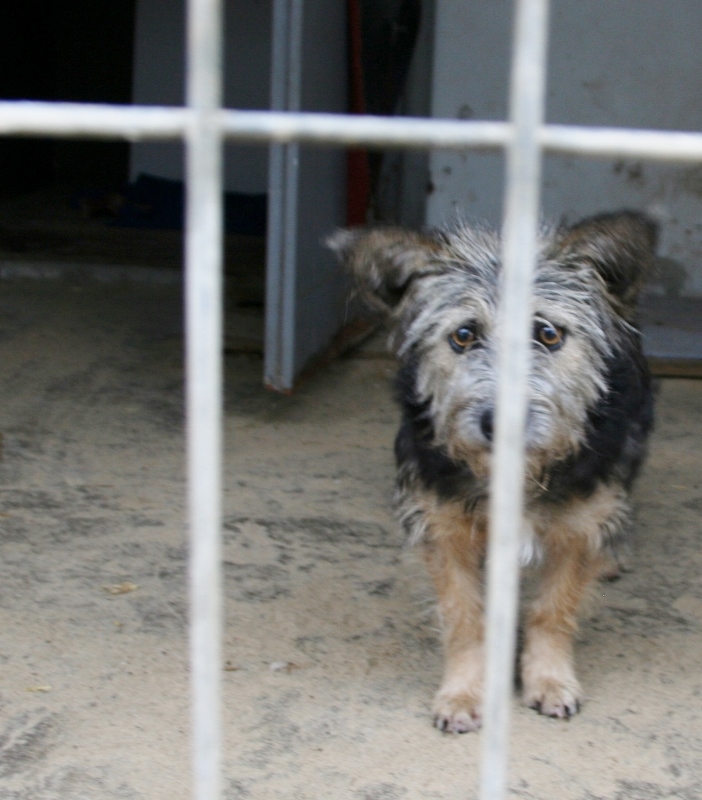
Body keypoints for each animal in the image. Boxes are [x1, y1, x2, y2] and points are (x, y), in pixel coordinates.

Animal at [328, 211, 656, 733]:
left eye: (547, 333)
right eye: (464, 336)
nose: (501, 422)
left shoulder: (577, 526)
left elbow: (553, 609)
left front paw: (549, 679)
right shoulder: (443, 528)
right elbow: (465, 617)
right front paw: (464, 692)